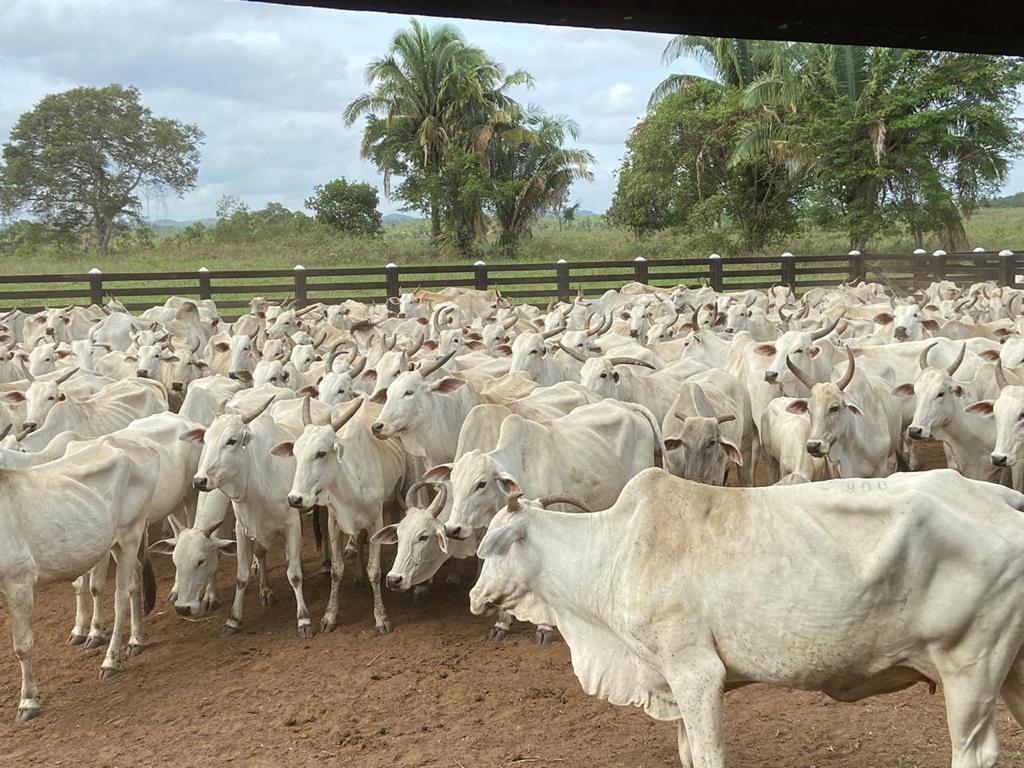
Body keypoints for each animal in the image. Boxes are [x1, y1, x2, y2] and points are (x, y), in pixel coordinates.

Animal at [473, 468, 1024, 768]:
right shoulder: (672, 682)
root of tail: (1000, 498)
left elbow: (709, 754)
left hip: (970, 668)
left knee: (972, 752)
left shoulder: (696, 674)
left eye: (496, 548)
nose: (477, 597)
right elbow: (687, 753)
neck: (615, 551)